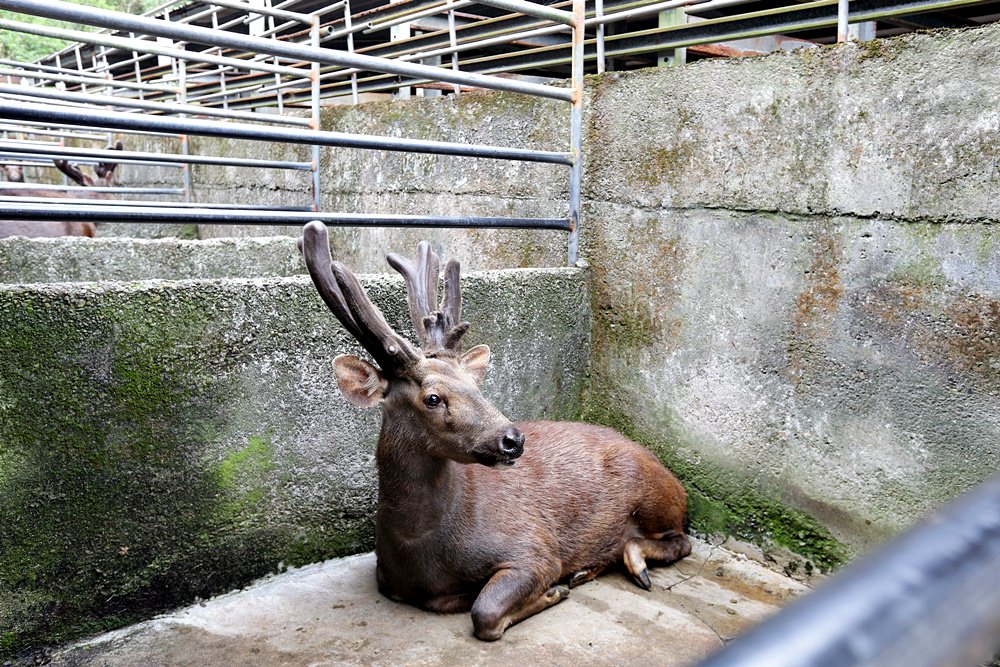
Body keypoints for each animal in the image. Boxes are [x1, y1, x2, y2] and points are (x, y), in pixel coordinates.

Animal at [296, 222, 688, 644]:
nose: (513, 439)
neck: (420, 552)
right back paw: (590, 568)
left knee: (680, 539)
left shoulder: (534, 548)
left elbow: (484, 612)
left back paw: (626, 564)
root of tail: (674, 482)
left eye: (476, 385)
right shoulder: (385, 577)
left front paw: (554, 590)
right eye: (433, 398)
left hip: (656, 497)